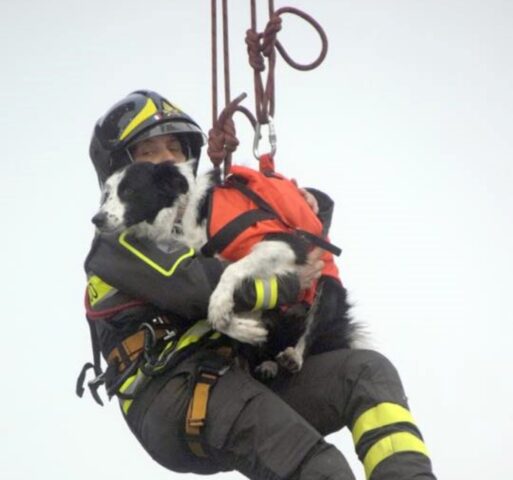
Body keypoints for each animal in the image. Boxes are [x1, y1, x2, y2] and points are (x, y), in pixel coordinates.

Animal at [92, 160, 356, 376]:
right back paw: (264, 362)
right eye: (106, 194)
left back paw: (293, 356)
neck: (183, 213)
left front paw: (219, 306)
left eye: (129, 190)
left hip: (328, 288)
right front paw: (242, 329)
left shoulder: (286, 243)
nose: (96, 219)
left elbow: (231, 270)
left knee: (312, 327)